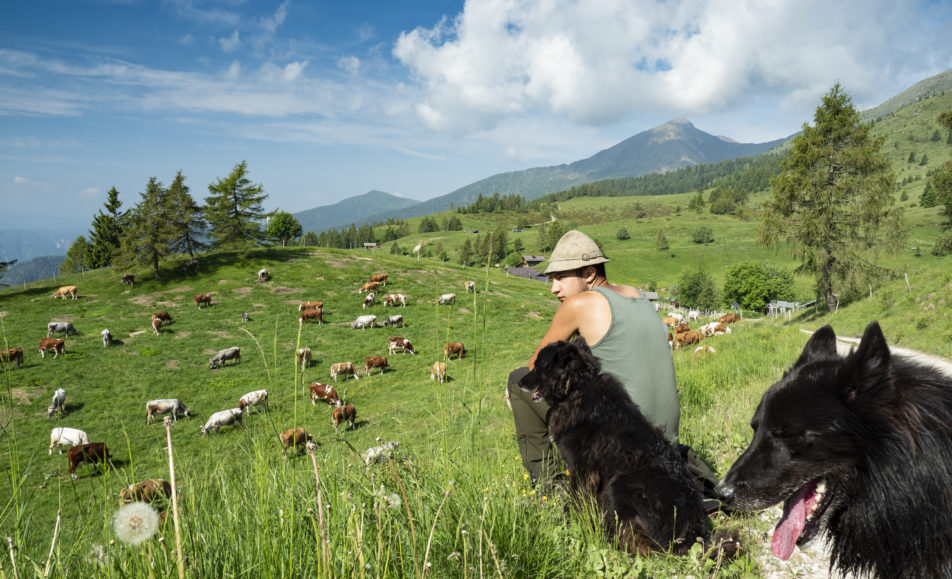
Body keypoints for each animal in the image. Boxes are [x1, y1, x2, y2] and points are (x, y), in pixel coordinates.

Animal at [520, 340, 712, 556]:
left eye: (538, 366)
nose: (519, 383)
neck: (578, 388)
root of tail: (690, 532)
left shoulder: (581, 469)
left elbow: (575, 499)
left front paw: (570, 523)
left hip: (617, 485)